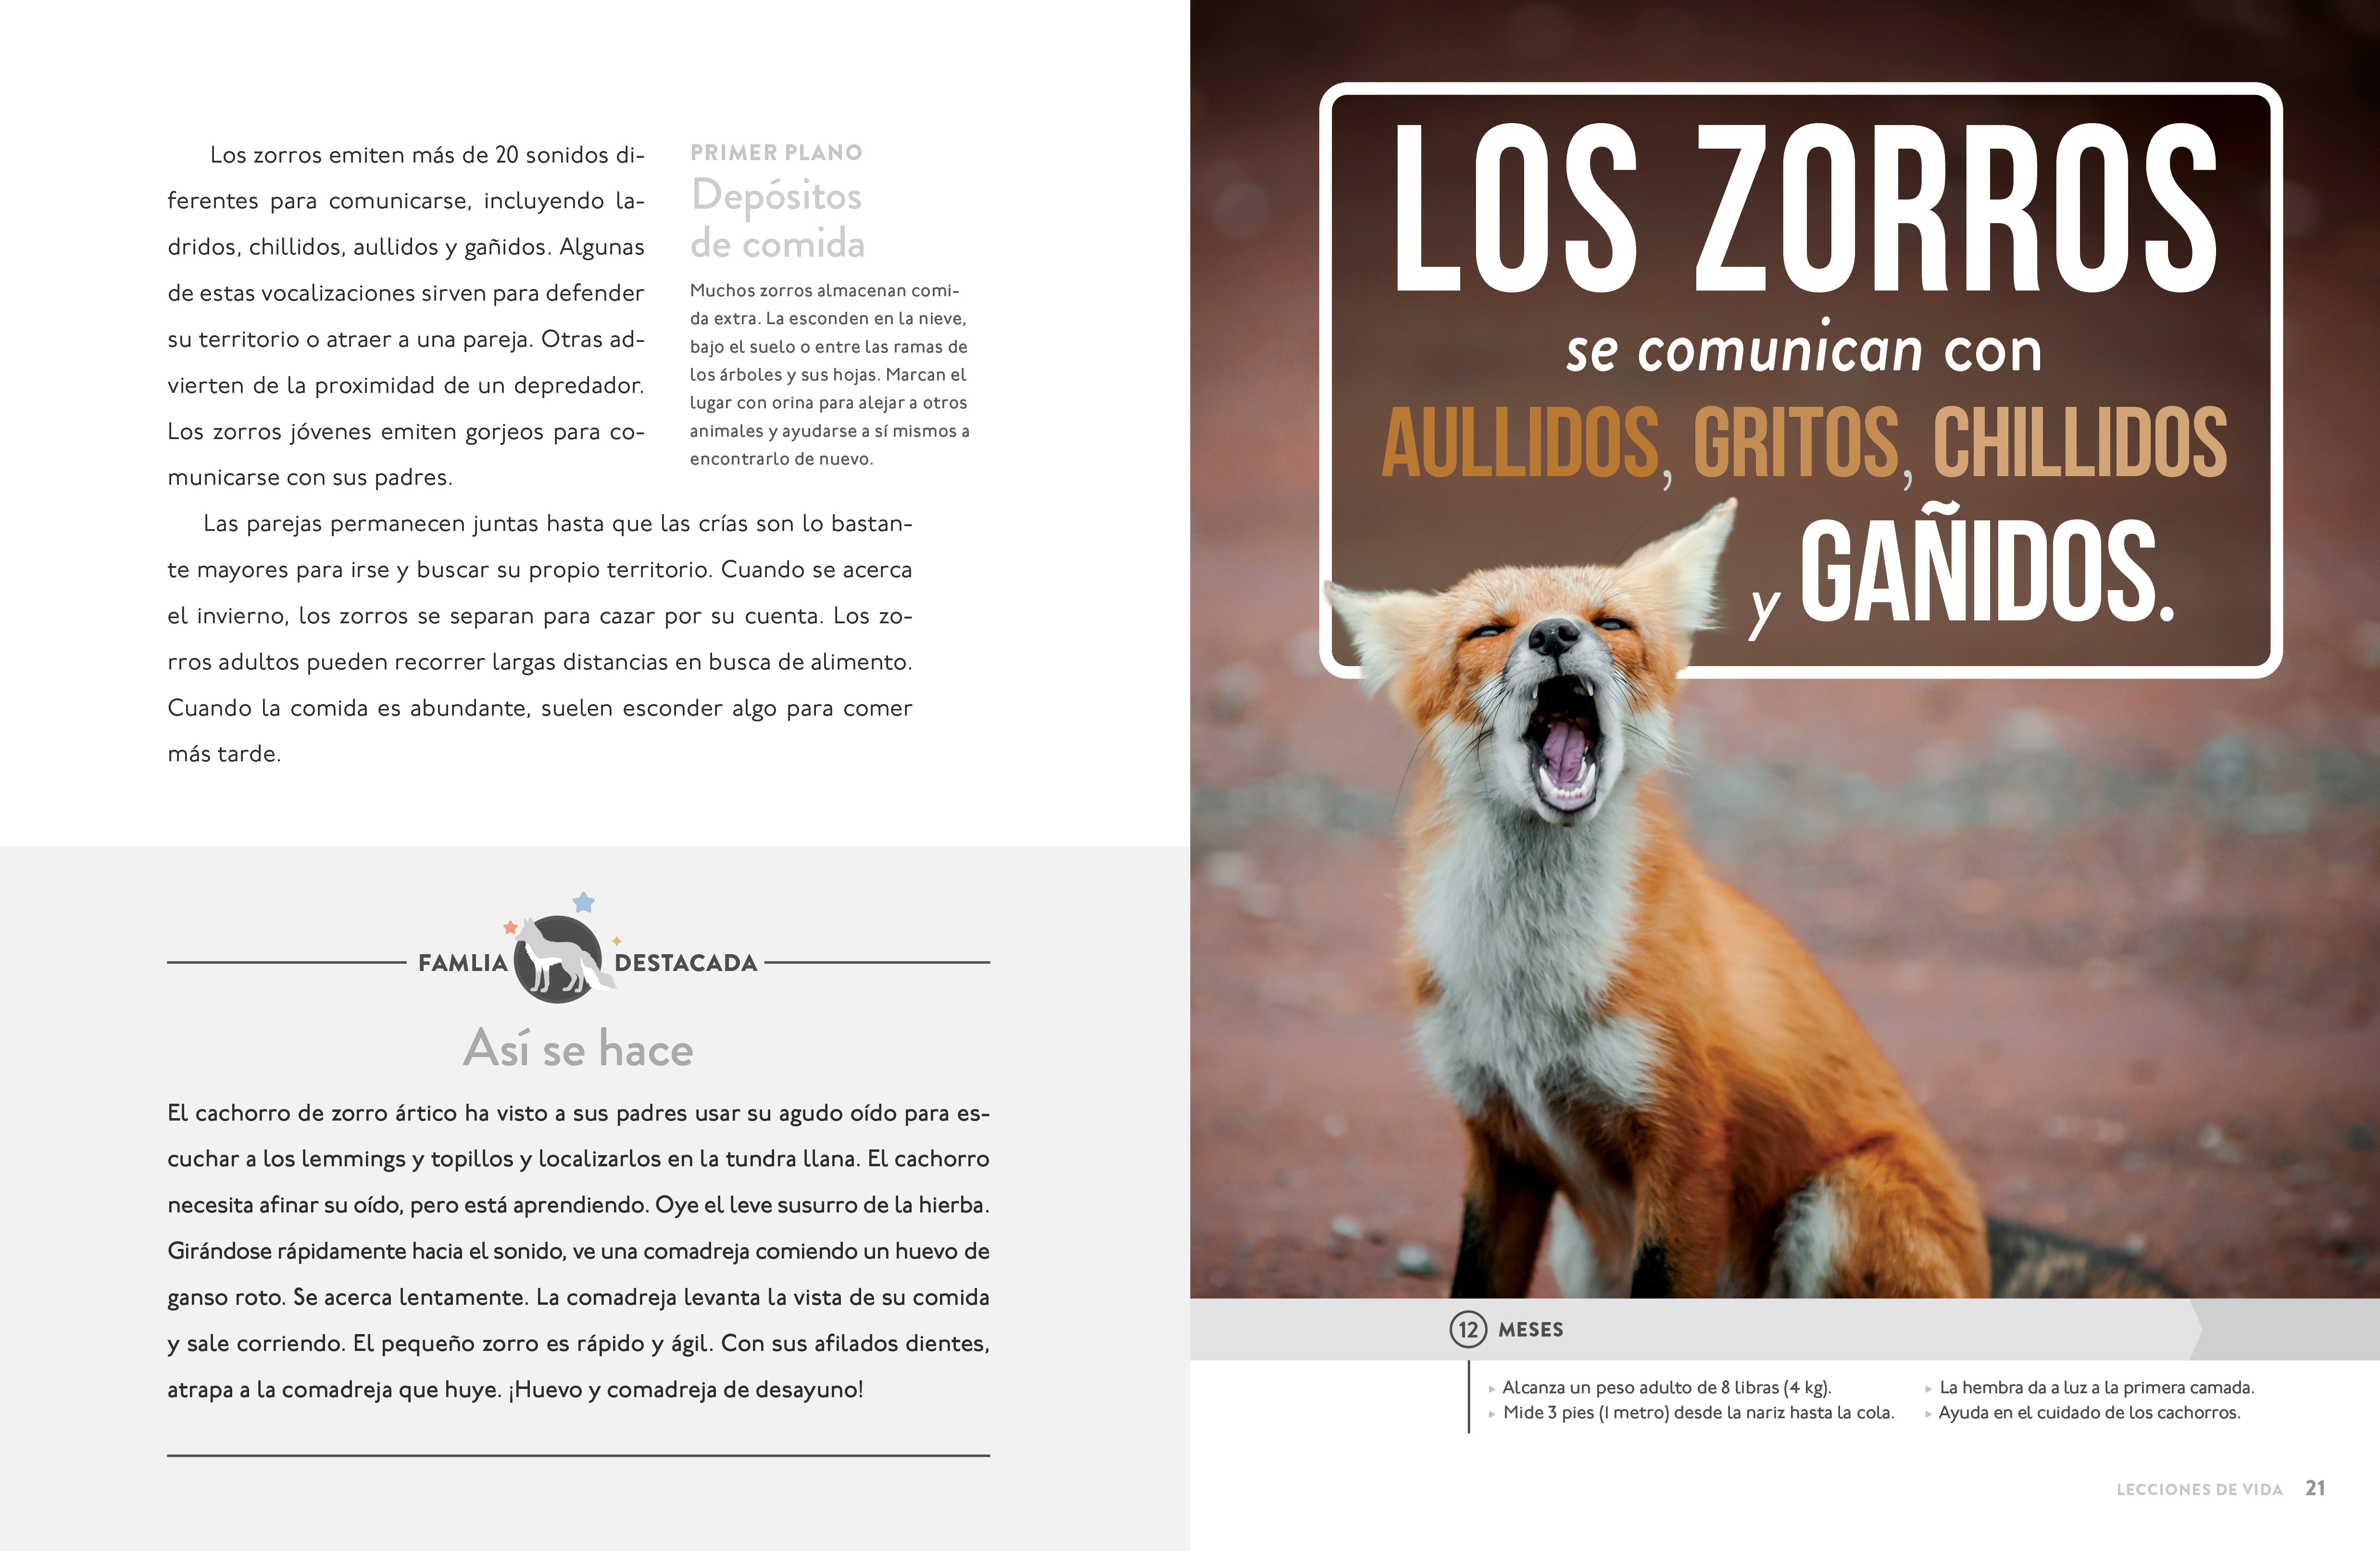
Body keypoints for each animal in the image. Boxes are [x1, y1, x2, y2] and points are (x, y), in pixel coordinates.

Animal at [517, 915, 617, 995]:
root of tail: (580, 949)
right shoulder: (538, 966)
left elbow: (546, 980)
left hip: (568, 966)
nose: (515, 938)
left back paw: (578, 990)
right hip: (568, 967)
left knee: (580, 976)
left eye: (524, 932)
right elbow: (537, 980)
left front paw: (545, 990)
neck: (536, 945)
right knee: (575, 977)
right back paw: (568, 989)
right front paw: (535, 989)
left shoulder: (545, 967)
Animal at [1327, 498, 1997, 1298]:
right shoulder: (1498, 1140)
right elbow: (1474, 1281)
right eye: (1487, 631)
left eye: (1610, 622)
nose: (1555, 634)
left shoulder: (1684, 1147)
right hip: (1581, 1253)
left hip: (1840, 1200)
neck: (1530, 989)